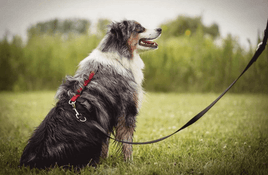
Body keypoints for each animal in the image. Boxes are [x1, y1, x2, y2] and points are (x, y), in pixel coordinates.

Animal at [19, 19, 161, 169]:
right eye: (139, 28)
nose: (160, 29)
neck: (119, 55)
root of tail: (34, 161)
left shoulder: (106, 120)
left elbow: (106, 146)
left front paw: (105, 161)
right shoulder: (126, 112)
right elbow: (127, 144)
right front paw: (130, 164)